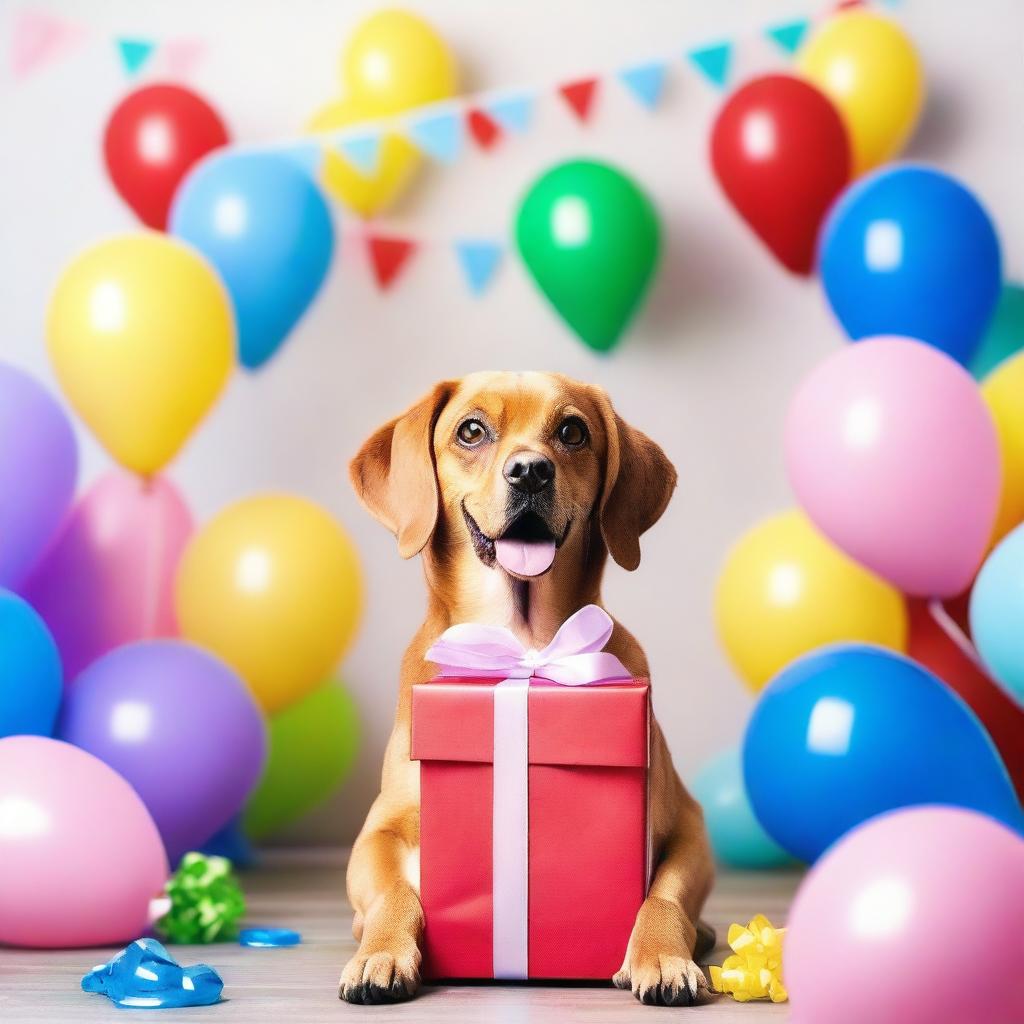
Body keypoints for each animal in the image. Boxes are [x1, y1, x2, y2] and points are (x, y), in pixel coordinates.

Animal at [342, 372, 712, 1003]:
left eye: (572, 432)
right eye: (471, 430)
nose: (531, 471)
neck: (524, 639)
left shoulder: (685, 828)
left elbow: (662, 896)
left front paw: (662, 953)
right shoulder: (378, 831)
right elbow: (395, 892)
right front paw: (383, 950)